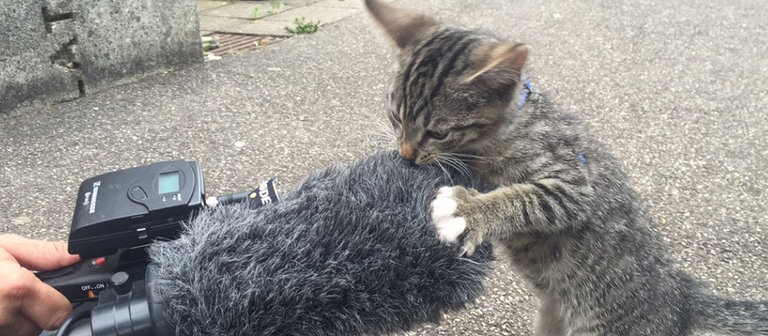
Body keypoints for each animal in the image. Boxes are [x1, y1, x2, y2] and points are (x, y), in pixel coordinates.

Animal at [368, 0, 768, 336]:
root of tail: (680, 298)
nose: (406, 155)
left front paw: (469, 209)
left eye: (438, 132)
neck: (511, 125)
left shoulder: (575, 184)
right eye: (395, 118)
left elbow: (526, 197)